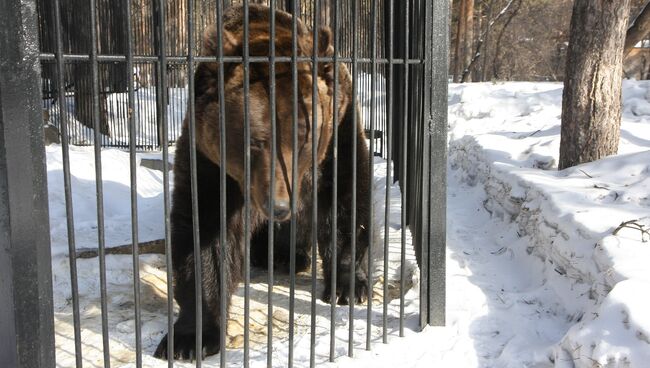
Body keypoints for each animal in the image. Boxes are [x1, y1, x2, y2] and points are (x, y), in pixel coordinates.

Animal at [153, 4, 372, 360]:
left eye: (303, 135)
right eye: (254, 141)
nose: (278, 206)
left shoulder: (338, 130)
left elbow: (344, 200)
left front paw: (349, 286)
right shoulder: (210, 158)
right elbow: (206, 232)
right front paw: (190, 337)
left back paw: (290, 255)